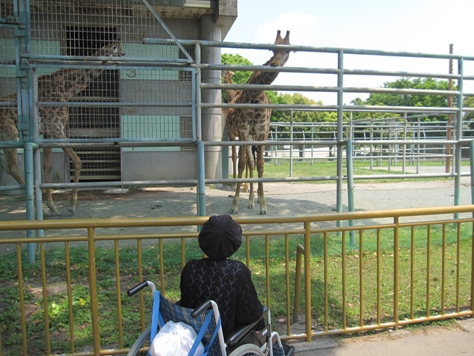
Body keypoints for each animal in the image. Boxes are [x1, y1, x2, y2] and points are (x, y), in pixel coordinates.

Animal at [0, 41, 126, 214]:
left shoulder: (48, 132)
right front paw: (71, 205)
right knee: (12, 167)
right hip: (10, 132)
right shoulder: (56, 128)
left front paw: (52, 206)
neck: (66, 89)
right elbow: (78, 161)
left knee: (9, 167)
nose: (125, 57)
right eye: (119, 52)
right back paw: (38, 208)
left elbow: (47, 167)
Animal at [229, 29, 290, 214]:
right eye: (272, 49)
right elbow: (242, 163)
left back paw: (252, 200)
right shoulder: (243, 130)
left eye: (289, 50)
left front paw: (263, 204)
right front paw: (234, 204)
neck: (255, 94)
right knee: (248, 162)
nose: (275, 63)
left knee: (253, 163)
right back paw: (249, 200)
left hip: (255, 136)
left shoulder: (263, 131)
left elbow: (261, 166)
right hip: (249, 135)